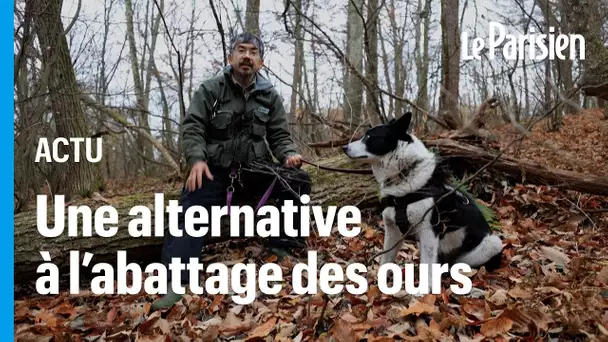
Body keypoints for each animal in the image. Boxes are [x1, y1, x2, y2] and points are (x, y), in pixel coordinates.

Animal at [342, 113, 504, 280]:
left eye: (369, 137)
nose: (344, 148)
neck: (404, 173)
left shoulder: (428, 232)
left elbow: (427, 266)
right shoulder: (392, 230)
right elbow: (386, 259)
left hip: (492, 244)